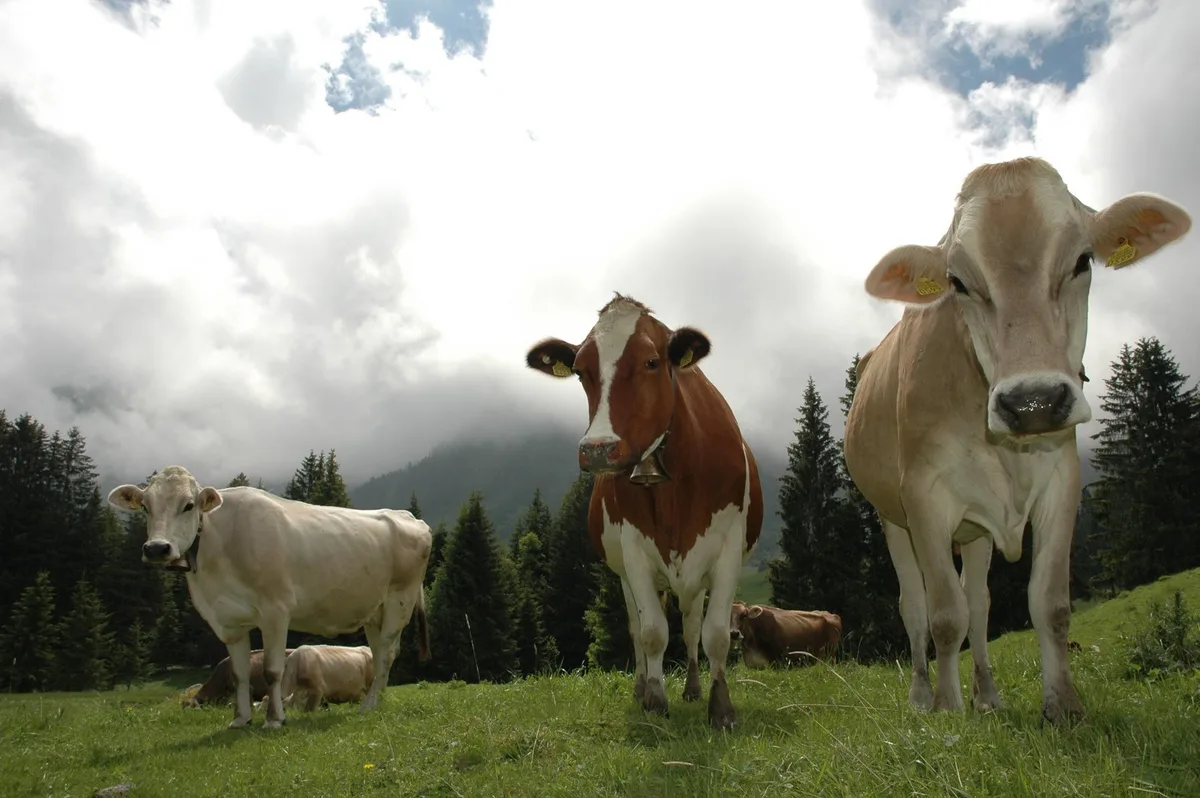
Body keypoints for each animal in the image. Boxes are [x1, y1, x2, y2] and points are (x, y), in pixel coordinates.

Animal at [107, 466, 433, 730]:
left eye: (188, 505)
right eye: (145, 507)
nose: (156, 548)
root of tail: (407, 516)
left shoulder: (275, 612)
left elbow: (272, 671)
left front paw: (275, 719)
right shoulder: (228, 620)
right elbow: (240, 674)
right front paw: (240, 719)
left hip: (399, 600)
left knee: (388, 653)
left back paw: (368, 705)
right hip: (373, 610)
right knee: (379, 654)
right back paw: (378, 702)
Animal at [526, 293, 763, 730]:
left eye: (652, 362)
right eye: (581, 371)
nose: (598, 449)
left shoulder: (727, 550)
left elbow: (716, 634)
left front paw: (720, 708)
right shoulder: (634, 549)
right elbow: (652, 632)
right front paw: (654, 701)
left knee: (691, 627)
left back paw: (692, 687)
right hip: (625, 573)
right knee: (638, 629)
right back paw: (643, 687)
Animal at [844, 156, 1191, 724]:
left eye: (1082, 261)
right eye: (958, 282)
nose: (1033, 402)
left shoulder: (1062, 478)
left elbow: (1048, 602)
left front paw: (1063, 706)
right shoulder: (923, 497)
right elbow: (943, 615)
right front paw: (947, 710)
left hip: (975, 529)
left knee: (980, 603)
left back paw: (987, 695)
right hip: (889, 516)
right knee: (914, 605)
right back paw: (921, 696)